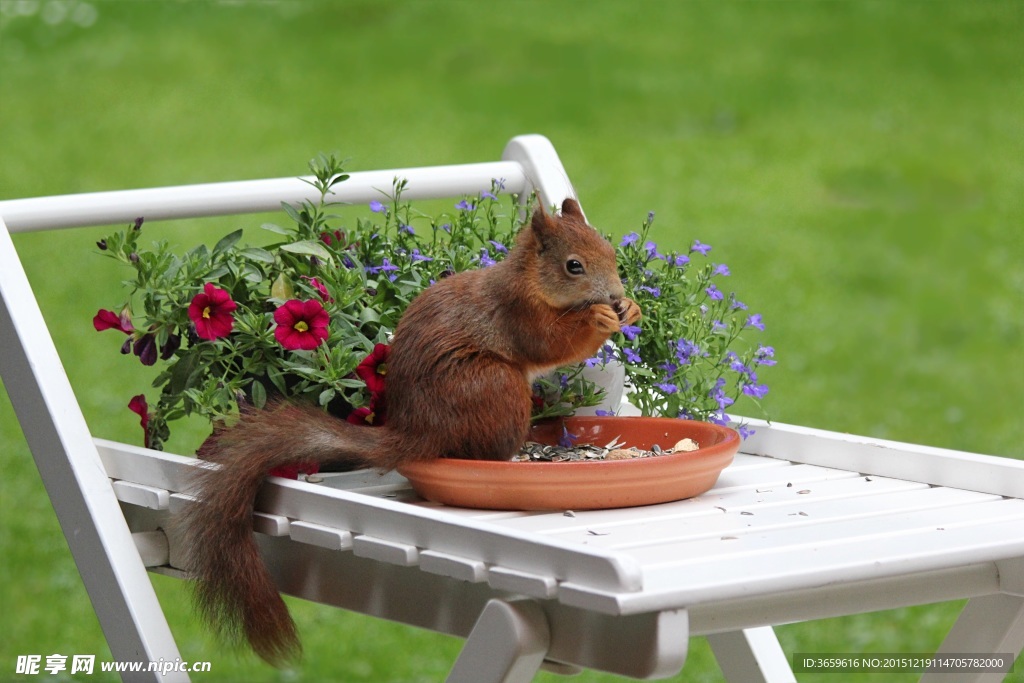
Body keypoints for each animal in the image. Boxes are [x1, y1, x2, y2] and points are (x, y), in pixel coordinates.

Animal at [176, 196, 638, 663]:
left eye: (610, 252)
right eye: (573, 266)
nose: (616, 296)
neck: (531, 283)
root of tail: (418, 431)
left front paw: (630, 309)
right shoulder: (519, 314)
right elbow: (550, 344)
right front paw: (598, 317)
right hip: (496, 385)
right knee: (483, 452)